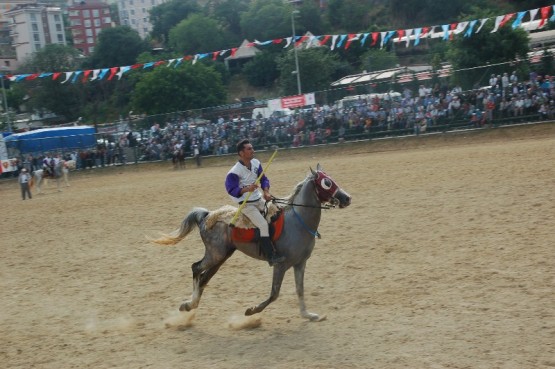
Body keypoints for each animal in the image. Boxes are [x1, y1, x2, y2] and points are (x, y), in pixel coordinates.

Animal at [152, 164, 352, 320]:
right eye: (327, 182)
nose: (347, 197)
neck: (298, 221)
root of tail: (207, 216)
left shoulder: (300, 263)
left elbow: (300, 290)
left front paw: (308, 315)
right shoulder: (281, 265)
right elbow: (274, 294)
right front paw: (251, 310)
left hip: (222, 256)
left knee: (204, 278)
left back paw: (190, 305)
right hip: (215, 254)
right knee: (196, 268)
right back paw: (189, 304)